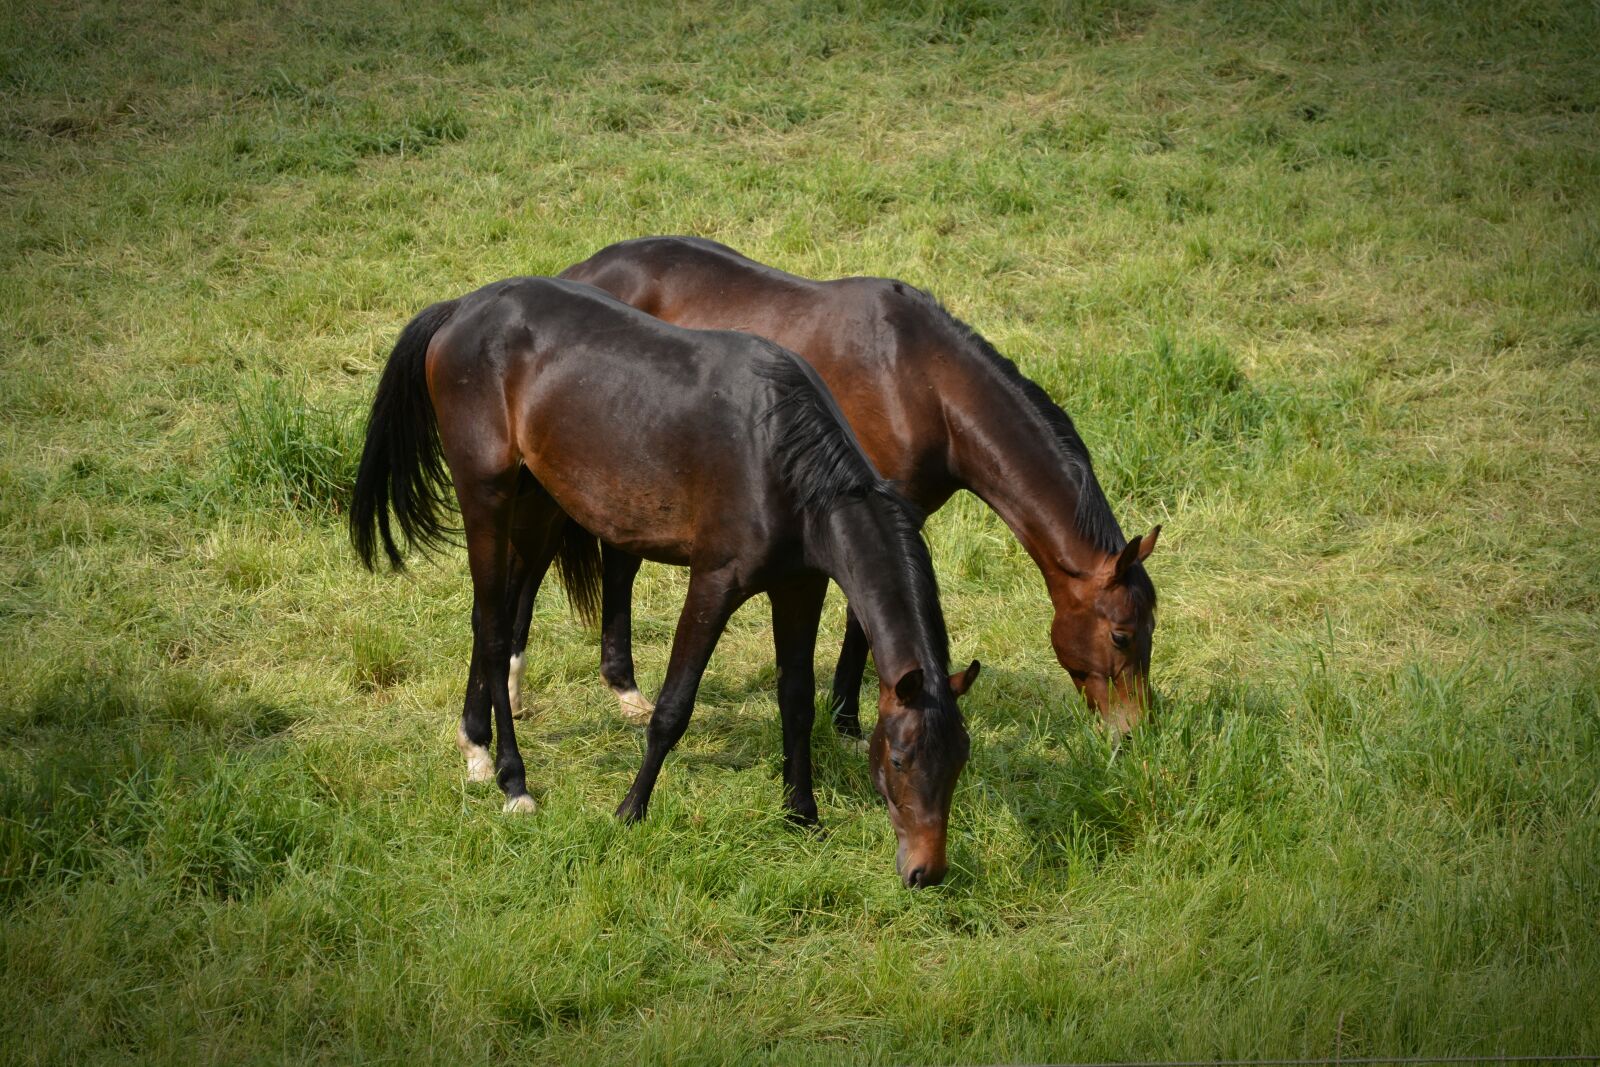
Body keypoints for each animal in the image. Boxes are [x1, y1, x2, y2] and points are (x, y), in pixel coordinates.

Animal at [349, 277, 980, 888]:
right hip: (486, 494)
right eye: (899, 760)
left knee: (488, 618)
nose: (926, 873)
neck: (783, 456)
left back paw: (475, 747)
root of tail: (460, 309)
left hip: (533, 499)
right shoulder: (714, 584)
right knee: (498, 627)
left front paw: (802, 814)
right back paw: (513, 780)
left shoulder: (800, 588)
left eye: (958, 762)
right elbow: (674, 707)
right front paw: (630, 811)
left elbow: (797, 701)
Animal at [558, 237, 1159, 734]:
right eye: (1122, 635)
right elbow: (859, 617)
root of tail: (578, 272)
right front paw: (846, 718)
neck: (923, 382)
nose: (1137, 732)